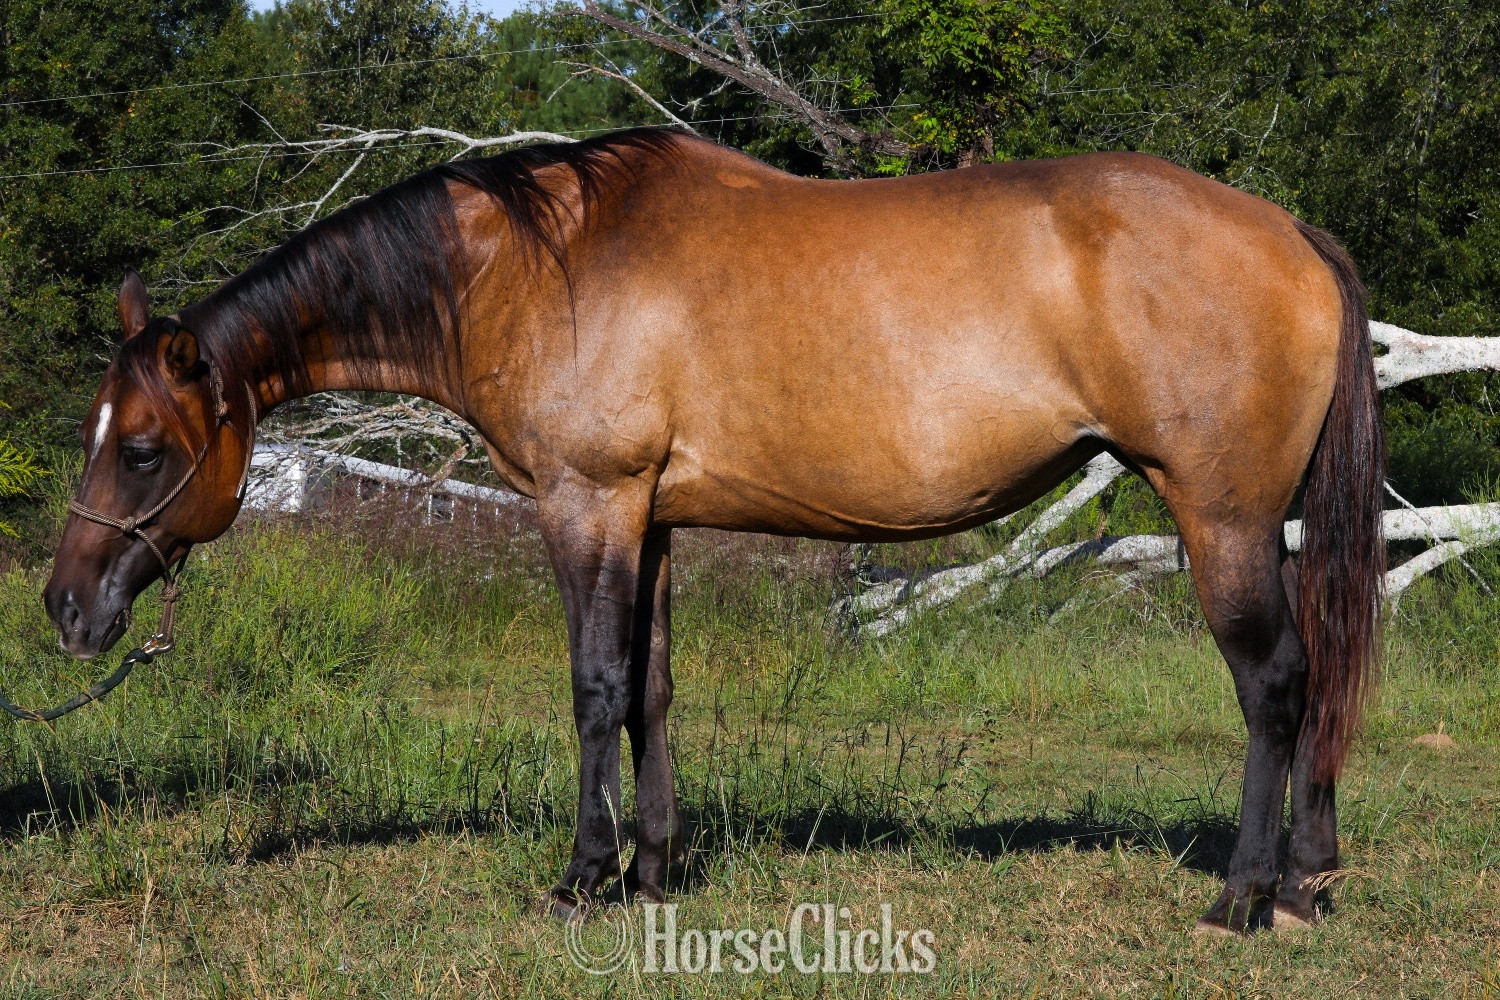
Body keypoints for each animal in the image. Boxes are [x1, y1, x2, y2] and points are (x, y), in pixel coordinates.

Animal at [42, 127, 1383, 935]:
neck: (537, 267)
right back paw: (1310, 876)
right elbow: (652, 688)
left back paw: (1245, 895)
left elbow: (594, 684)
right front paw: (653, 868)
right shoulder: (651, 517)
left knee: (1275, 682)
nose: (64, 605)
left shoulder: (587, 500)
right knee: (1317, 678)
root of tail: (1288, 231)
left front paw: (583, 876)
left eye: (143, 446)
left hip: (1220, 519)